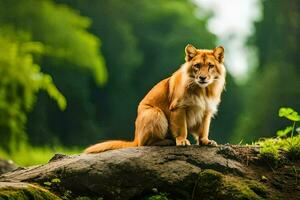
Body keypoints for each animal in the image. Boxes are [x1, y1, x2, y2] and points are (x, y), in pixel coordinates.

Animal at [84, 44, 225, 153]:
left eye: (210, 66)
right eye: (197, 65)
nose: (202, 78)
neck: (203, 90)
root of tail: (136, 137)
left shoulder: (206, 110)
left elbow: (204, 129)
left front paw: (206, 141)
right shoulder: (178, 107)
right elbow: (182, 128)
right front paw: (182, 141)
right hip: (155, 112)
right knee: (145, 144)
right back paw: (167, 141)